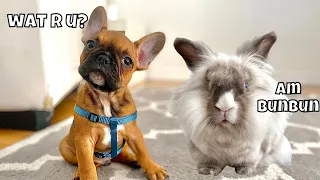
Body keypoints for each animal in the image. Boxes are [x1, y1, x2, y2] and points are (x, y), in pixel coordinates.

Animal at [58, 5, 168, 180]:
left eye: (127, 61)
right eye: (90, 44)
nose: (104, 58)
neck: (107, 97)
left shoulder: (134, 134)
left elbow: (143, 152)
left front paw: (153, 168)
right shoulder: (84, 140)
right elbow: (87, 165)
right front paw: (87, 175)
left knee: (119, 154)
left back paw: (132, 159)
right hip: (64, 147)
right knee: (88, 162)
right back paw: (80, 171)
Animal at [168, 31, 292, 175]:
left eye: (245, 86)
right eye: (209, 85)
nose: (224, 107)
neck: (227, 134)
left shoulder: (255, 151)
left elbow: (249, 162)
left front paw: (244, 172)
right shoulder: (205, 154)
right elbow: (211, 162)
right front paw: (208, 171)